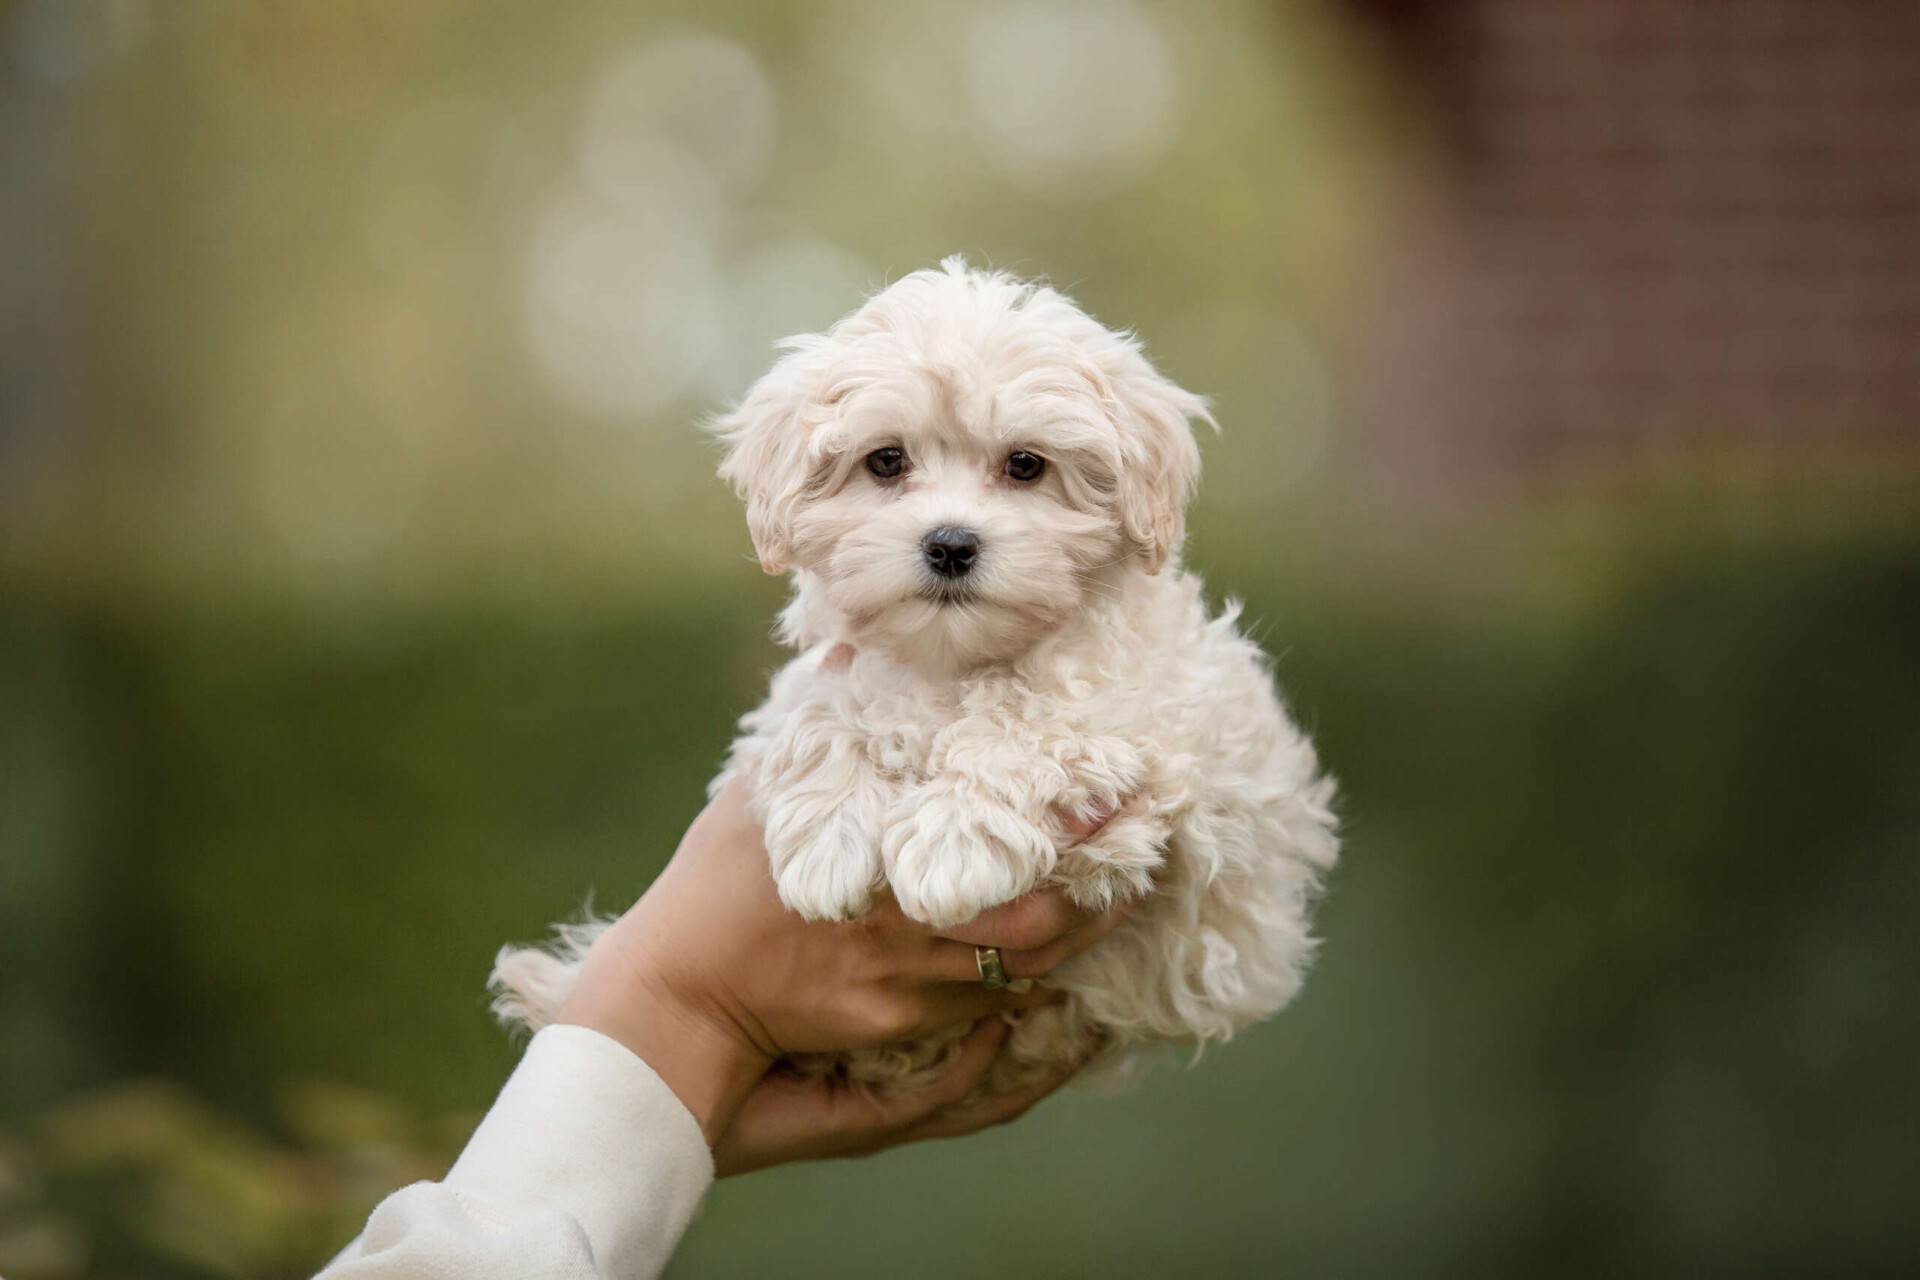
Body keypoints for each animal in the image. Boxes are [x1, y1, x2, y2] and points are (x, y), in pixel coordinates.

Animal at [495, 257, 1336, 1090]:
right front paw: (827, 842)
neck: (953, 659)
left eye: (1026, 465)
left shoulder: (1156, 723)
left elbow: (1029, 720)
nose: (951, 544)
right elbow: (819, 711)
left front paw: (950, 843)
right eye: (886, 461)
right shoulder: (827, 676)